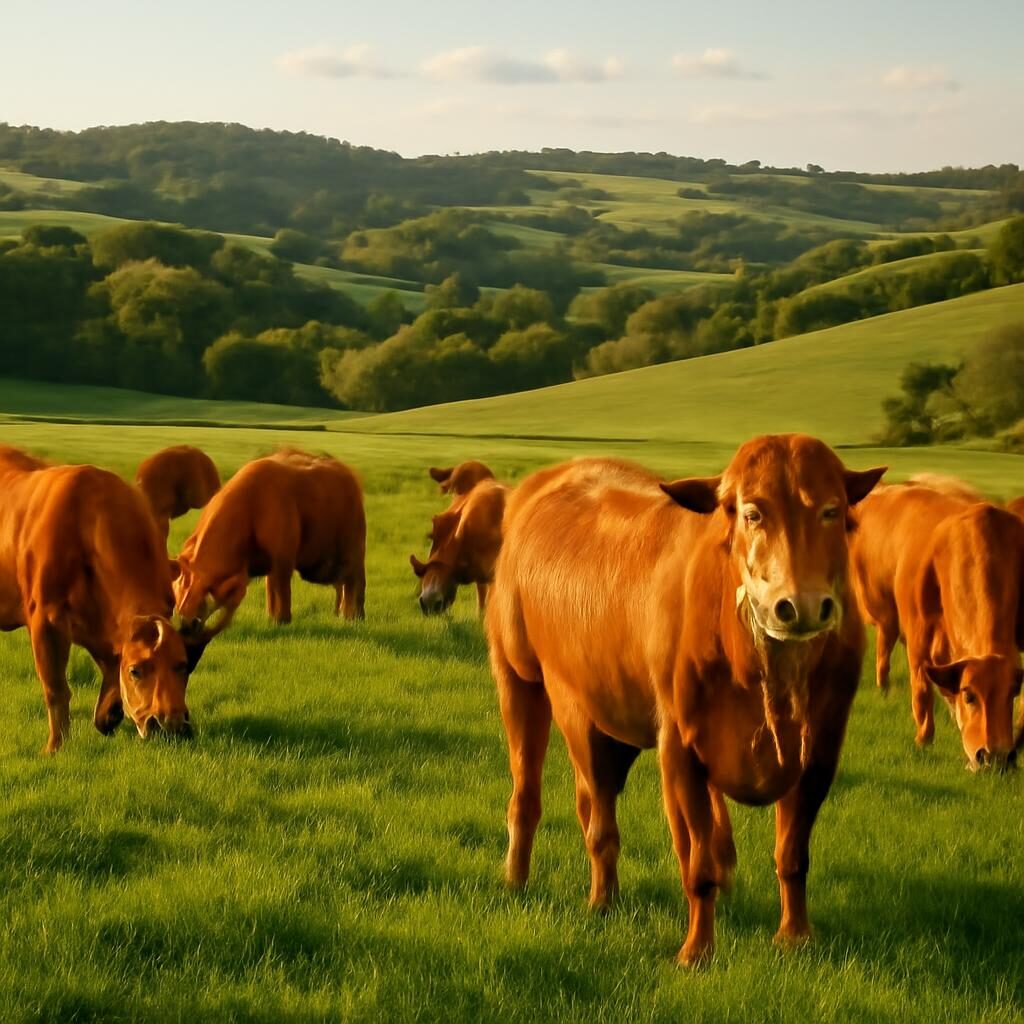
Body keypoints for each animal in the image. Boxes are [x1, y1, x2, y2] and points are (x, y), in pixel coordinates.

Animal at [0, 446, 210, 753]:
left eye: (183, 665)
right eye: (136, 671)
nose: (170, 725)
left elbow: (110, 670)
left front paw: (107, 716)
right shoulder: (45, 619)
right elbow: (56, 689)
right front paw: (55, 747)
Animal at [173, 449, 366, 635]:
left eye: (188, 583)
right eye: (178, 584)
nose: (184, 624)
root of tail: (348, 474)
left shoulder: (282, 559)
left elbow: (281, 592)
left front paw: (282, 621)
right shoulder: (268, 565)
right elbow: (271, 593)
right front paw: (271, 619)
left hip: (353, 550)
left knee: (354, 583)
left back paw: (352, 617)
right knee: (341, 585)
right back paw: (340, 613)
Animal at [486, 437, 884, 964]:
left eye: (831, 510)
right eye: (752, 513)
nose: (799, 606)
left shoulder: (821, 749)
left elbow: (791, 854)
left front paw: (796, 935)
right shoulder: (678, 746)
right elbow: (695, 863)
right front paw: (697, 950)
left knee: (595, 802)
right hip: (521, 677)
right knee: (546, 798)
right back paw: (552, 887)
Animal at [853, 481, 1023, 767]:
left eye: (1012, 692)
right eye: (969, 695)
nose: (993, 757)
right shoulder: (918, 637)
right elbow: (922, 690)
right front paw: (923, 739)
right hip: (883, 608)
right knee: (884, 646)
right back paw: (883, 688)